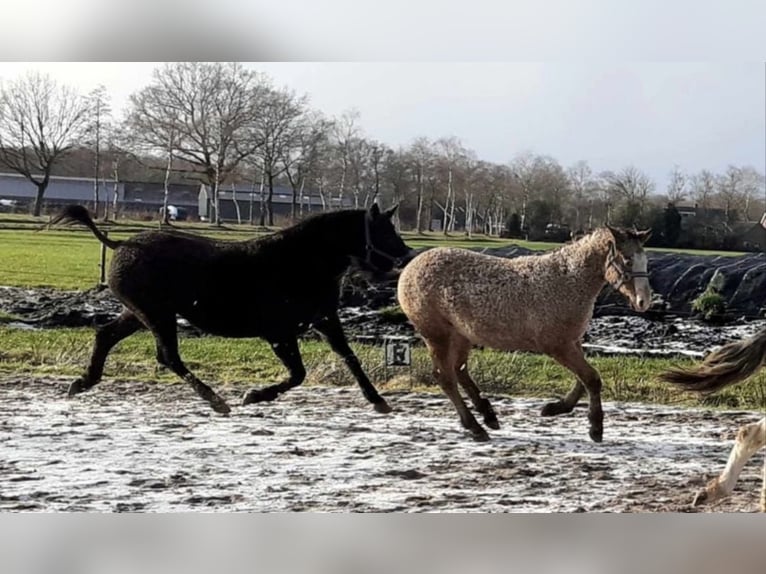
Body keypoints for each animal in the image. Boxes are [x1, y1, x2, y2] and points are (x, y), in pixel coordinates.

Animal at [50, 203, 414, 415]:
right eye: (383, 231)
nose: (407, 259)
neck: (301, 260)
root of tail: (123, 244)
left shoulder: (324, 320)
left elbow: (348, 356)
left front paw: (378, 401)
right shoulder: (279, 332)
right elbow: (298, 374)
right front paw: (253, 395)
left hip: (139, 314)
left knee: (106, 336)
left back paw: (82, 382)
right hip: (155, 315)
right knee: (168, 357)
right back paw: (216, 400)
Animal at [397, 226, 652, 442]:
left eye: (645, 260)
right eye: (627, 260)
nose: (643, 302)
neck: (567, 281)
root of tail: (409, 268)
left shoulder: (572, 341)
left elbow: (583, 380)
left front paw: (555, 408)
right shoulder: (558, 345)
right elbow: (591, 379)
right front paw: (595, 428)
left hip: (461, 335)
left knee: (460, 371)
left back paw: (488, 415)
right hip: (437, 335)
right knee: (446, 378)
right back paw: (475, 427)